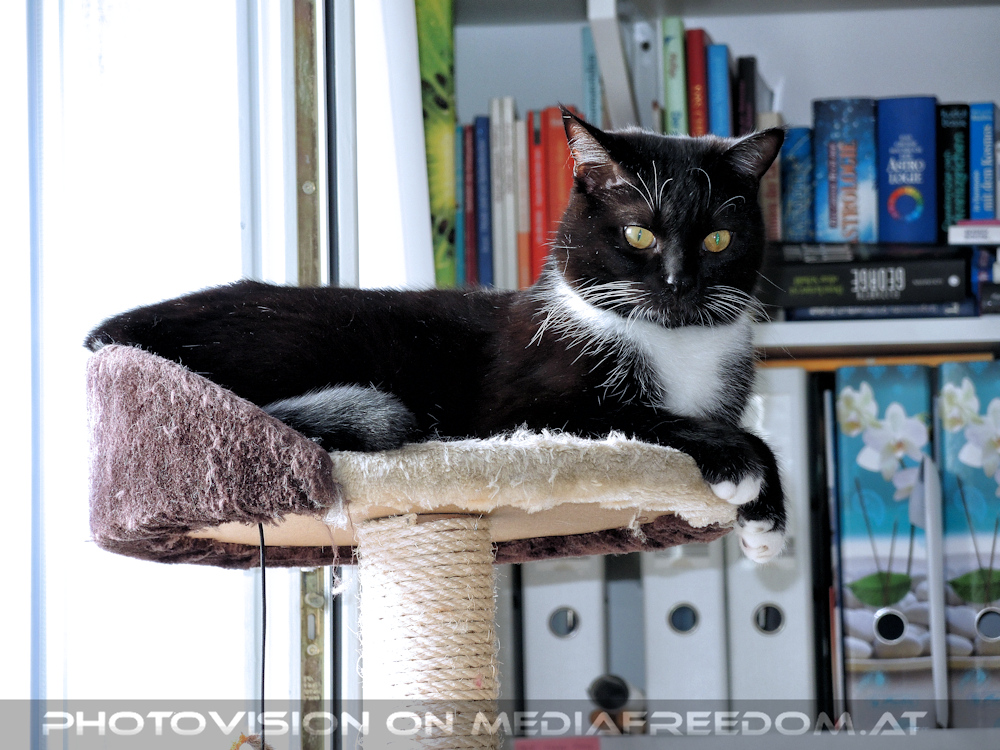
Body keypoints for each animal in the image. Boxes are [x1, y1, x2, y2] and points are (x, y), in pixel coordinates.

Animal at [86, 108, 786, 561]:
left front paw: (768, 523)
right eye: (638, 233)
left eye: (718, 239)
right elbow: (643, 417)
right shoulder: (529, 407)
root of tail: (116, 333)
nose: (678, 282)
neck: (674, 341)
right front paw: (739, 463)